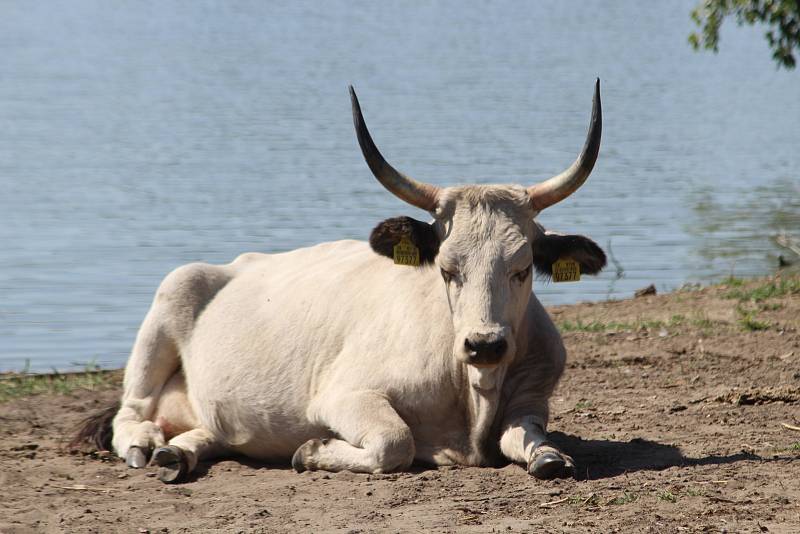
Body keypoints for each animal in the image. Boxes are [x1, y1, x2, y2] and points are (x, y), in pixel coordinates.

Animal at [75, 80, 608, 486]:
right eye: (446, 269)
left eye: (522, 267)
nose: (484, 344)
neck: (474, 394)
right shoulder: (342, 396)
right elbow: (395, 443)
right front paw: (311, 450)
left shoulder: (533, 397)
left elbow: (531, 439)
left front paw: (549, 455)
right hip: (172, 292)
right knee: (131, 412)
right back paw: (146, 445)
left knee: (208, 431)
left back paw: (178, 453)